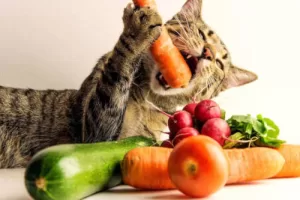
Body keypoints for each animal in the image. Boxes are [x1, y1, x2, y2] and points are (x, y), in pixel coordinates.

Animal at [0, 0, 258, 169]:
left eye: (220, 64)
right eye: (202, 35)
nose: (208, 53)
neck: (148, 98)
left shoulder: (112, 139)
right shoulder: (92, 133)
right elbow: (115, 73)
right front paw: (137, 31)